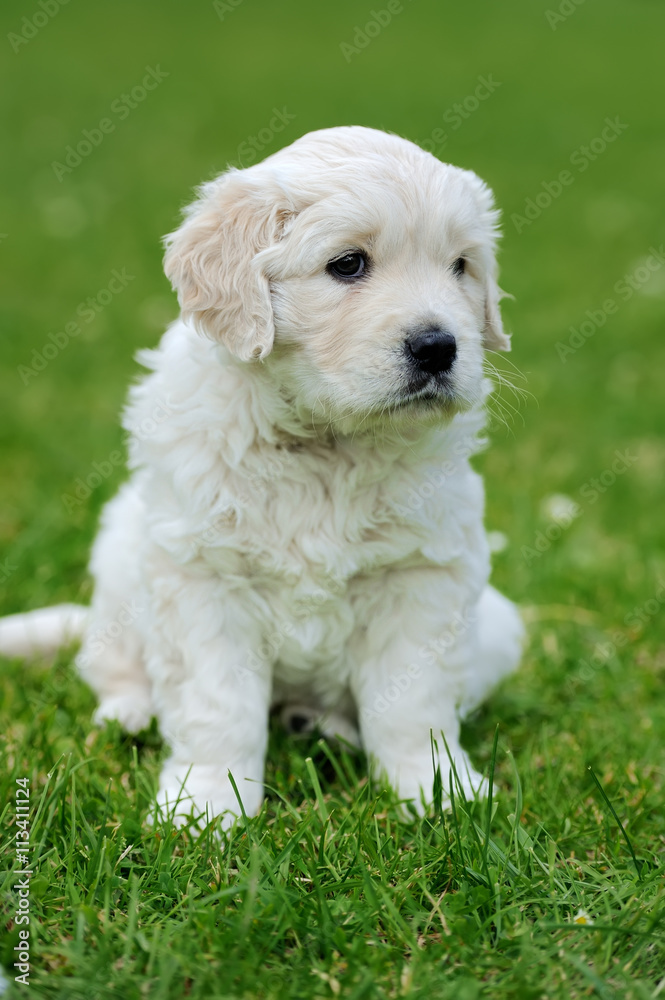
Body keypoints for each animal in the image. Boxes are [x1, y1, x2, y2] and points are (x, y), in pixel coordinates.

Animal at [2, 125, 528, 824]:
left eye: (461, 266)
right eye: (348, 264)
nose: (440, 347)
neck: (326, 441)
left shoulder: (421, 574)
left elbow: (413, 705)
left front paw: (437, 793)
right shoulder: (203, 577)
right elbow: (218, 708)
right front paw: (204, 807)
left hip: (498, 626)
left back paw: (322, 726)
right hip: (120, 561)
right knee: (111, 662)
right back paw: (130, 713)